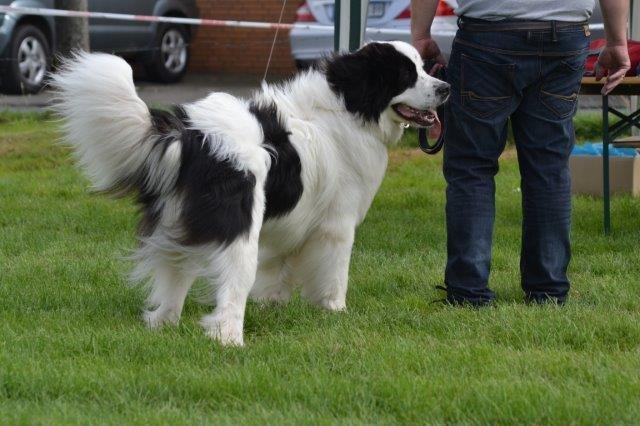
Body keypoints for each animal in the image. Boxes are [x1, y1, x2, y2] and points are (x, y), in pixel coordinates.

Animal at [52, 41, 449, 346]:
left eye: (422, 67)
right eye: (405, 75)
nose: (445, 87)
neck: (346, 108)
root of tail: (190, 134)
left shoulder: (289, 227)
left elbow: (277, 270)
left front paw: (274, 303)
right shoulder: (336, 227)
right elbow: (335, 275)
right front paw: (336, 311)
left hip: (177, 222)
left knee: (174, 270)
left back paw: (164, 323)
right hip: (239, 232)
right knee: (231, 289)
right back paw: (229, 339)